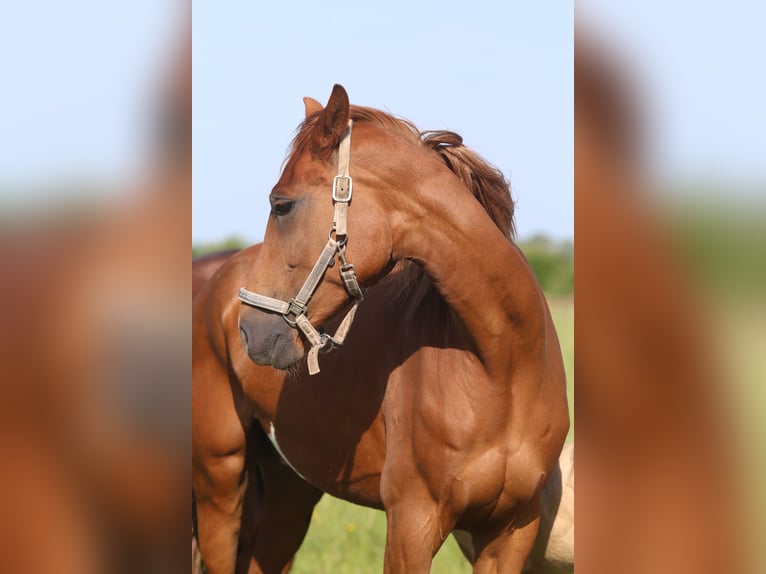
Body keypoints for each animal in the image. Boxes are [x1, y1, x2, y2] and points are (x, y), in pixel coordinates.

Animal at [194, 86, 568, 574]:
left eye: (282, 204)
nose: (249, 331)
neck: (504, 368)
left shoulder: (511, 532)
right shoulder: (412, 522)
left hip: (289, 492)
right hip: (220, 478)